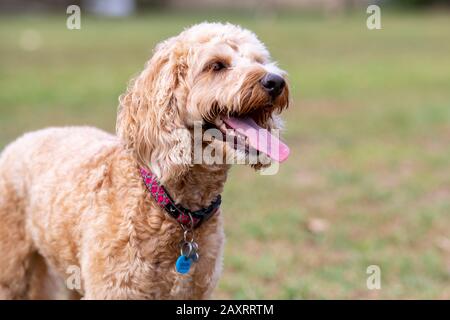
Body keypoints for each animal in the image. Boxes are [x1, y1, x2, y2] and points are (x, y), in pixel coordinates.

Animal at [0, 22, 288, 300]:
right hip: (13, 270)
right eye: (216, 65)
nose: (276, 81)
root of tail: (21, 140)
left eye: (260, 60)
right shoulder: (114, 289)